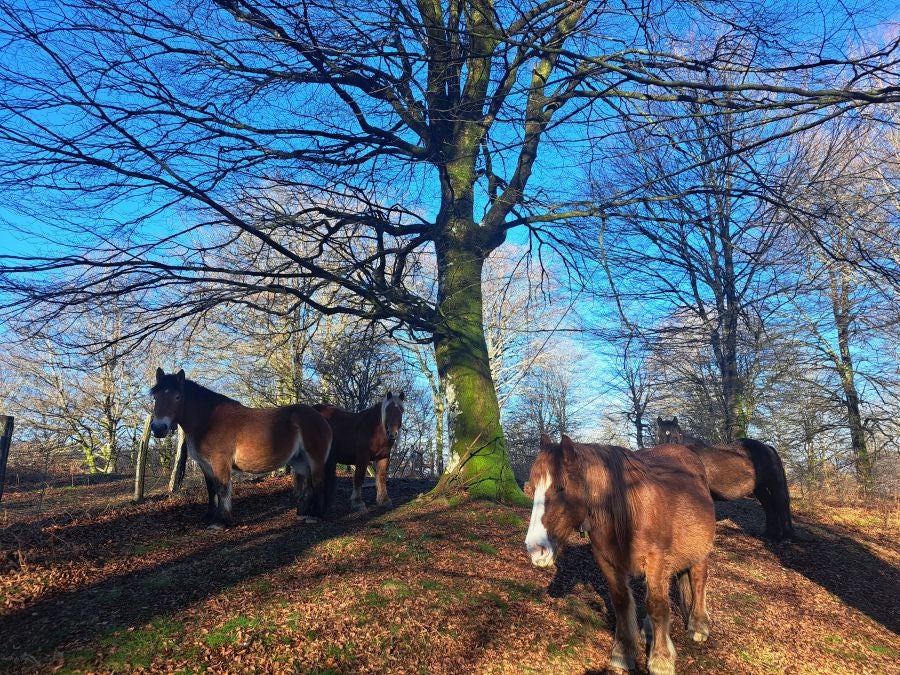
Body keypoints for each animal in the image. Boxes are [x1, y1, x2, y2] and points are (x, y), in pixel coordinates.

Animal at [151, 370, 334, 528]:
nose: (158, 428)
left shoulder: (220, 461)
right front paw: (210, 517)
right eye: (155, 397)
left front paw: (221, 521)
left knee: (318, 482)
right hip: (300, 461)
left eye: (177, 396)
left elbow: (223, 488)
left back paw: (316, 516)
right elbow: (212, 489)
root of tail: (320, 418)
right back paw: (304, 513)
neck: (208, 421)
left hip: (315, 458)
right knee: (309, 484)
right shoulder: (205, 465)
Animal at [524, 436, 712, 672]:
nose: (535, 549)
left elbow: (658, 606)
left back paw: (699, 626)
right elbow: (622, 601)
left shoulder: (657, 560)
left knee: (698, 582)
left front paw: (661, 660)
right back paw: (648, 630)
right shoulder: (608, 561)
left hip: (700, 553)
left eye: (561, 488)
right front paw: (623, 651)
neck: (632, 510)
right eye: (531, 490)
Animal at [652, 414, 796, 540]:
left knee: (781, 503)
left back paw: (786, 537)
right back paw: (768, 535)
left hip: (775, 484)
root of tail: (767, 447)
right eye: (658, 435)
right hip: (759, 488)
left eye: (675, 436)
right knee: (769, 506)